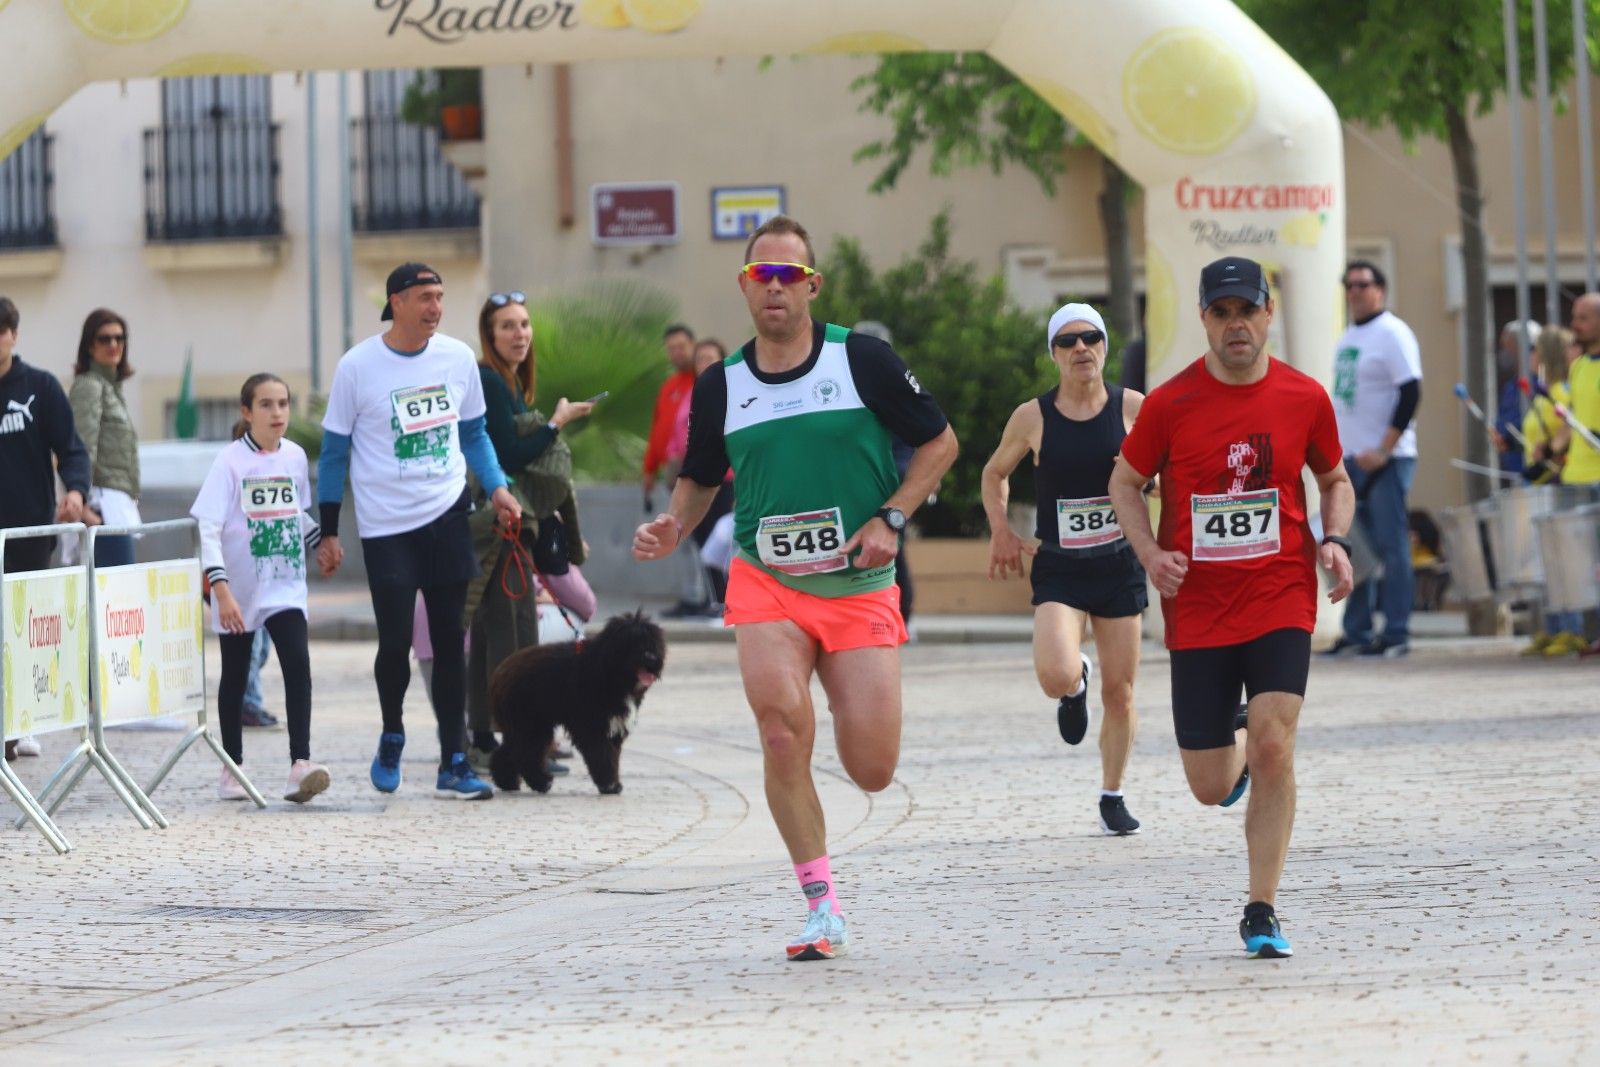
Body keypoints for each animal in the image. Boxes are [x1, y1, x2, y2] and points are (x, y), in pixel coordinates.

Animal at [486, 614, 662, 796]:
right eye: (633, 640)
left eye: (653, 641)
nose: (651, 657)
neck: (606, 670)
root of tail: (500, 672)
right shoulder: (593, 728)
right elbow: (602, 755)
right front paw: (609, 785)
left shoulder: (614, 727)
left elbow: (612, 756)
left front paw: (613, 784)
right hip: (530, 725)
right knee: (526, 756)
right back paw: (542, 782)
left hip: (522, 726)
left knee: (508, 752)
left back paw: (508, 782)